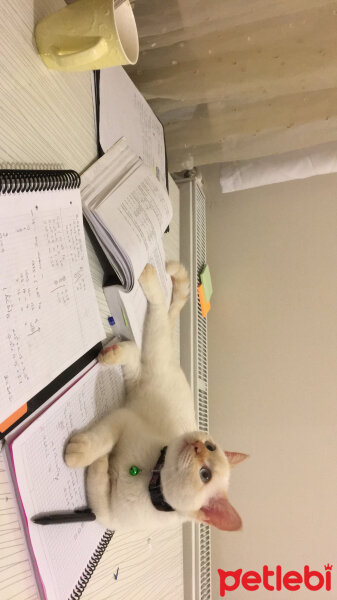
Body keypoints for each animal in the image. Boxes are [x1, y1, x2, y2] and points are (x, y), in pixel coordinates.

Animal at [64, 262, 245, 528]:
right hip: (154, 348)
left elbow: (97, 486)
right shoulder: (124, 420)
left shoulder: (106, 515)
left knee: (138, 349)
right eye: (210, 447)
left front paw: (95, 461)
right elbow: (100, 440)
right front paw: (82, 454)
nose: (197, 446)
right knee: (155, 313)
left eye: (205, 475)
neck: (147, 473)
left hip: (141, 373)